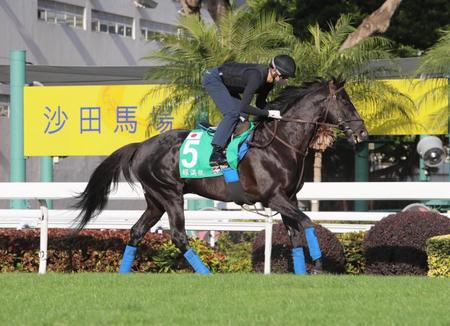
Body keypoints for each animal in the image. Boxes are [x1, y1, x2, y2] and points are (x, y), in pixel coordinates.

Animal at [74, 79, 370, 276]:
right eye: (345, 102)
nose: (362, 133)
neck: (281, 143)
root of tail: (141, 145)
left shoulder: (290, 198)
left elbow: (295, 232)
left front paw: (302, 271)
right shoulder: (273, 198)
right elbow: (307, 222)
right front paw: (318, 265)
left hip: (155, 200)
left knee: (136, 231)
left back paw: (123, 273)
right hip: (170, 195)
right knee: (178, 236)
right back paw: (208, 274)